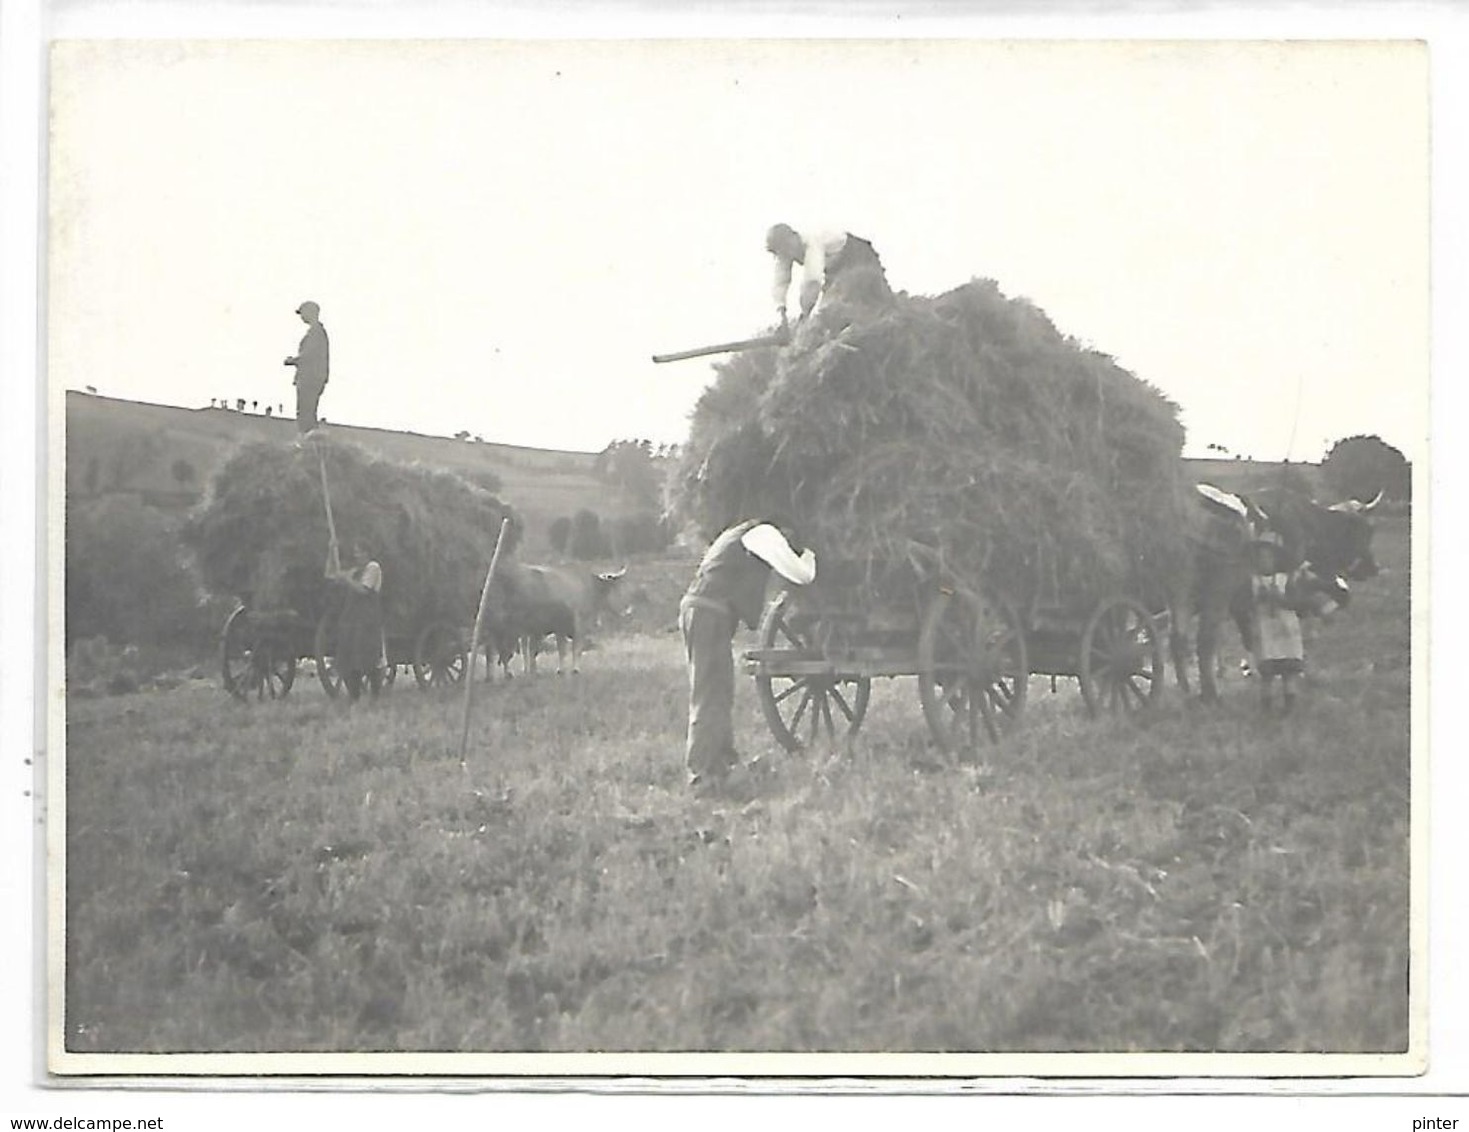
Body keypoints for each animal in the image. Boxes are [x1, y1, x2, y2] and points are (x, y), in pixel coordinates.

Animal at [481, 557, 625, 672]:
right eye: (613, 587)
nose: (624, 607)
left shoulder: (559, 629)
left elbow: (561, 649)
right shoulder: (577, 626)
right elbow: (574, 649)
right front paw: (573, 669)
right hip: (509, 627)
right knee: (503, 650)